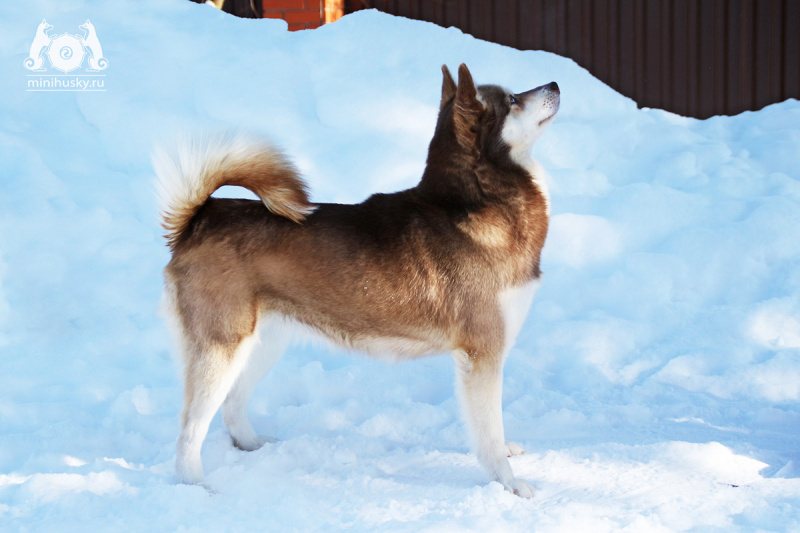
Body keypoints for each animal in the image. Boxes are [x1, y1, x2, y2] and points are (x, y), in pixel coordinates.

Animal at [155, 64, 556, 496]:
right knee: (188, 433)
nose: (555, 84)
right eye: (513, 100)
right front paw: (509, 485)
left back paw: (252, 445)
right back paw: (197, 487)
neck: (476, 204)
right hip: (221, 350)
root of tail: (200, 218)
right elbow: (489, 434)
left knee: (231, 408)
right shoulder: (482, 354)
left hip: (262, 344)